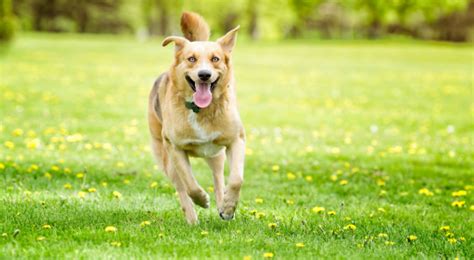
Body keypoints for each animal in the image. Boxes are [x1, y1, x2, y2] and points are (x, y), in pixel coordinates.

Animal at [147, 11, 244, 223]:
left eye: (215, 59)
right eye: (191, 59)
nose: (204, 75)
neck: (201, 110)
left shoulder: (236, 140)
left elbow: (236, 179)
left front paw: (229, 207)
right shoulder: (175, 148)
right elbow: (190, 184)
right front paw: (201, 200)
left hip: (216, 156)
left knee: (218, 179)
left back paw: (222, 205)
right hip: (167, 161)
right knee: (182, 188)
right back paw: (192, 219)